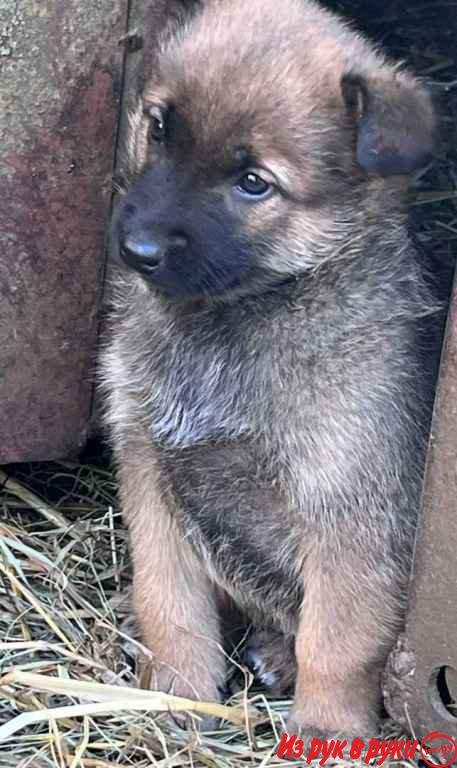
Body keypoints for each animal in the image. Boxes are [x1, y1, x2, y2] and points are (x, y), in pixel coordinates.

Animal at [99, 0, 434, 740]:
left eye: (253, 183)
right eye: (158, 129)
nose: (135, 249)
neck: (232, 321)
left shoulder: (348, 513)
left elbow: (337, 639)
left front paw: (327, 731)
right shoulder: (149, 471)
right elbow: (168, 598)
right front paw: (177, 692)